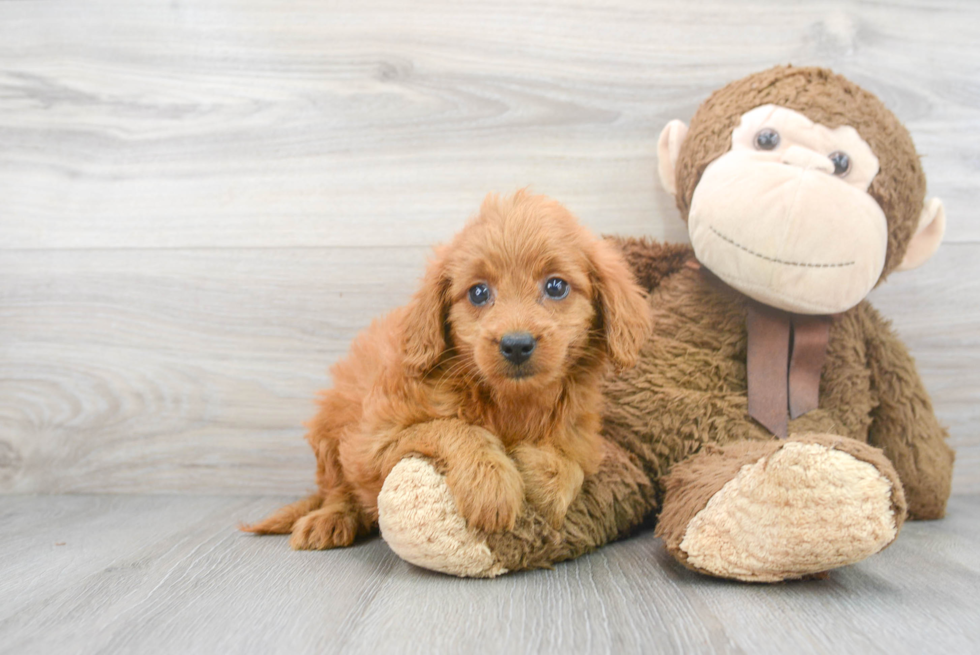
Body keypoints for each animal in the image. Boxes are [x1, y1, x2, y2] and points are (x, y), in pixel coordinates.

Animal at [241, 190, 652, 548]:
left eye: (556, 287)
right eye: (478, 293)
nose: (516, 344)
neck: (509, 402)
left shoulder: (583, 437)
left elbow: (571, 464)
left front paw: (540, 470)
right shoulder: (374, 439)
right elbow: (450, 427)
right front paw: (492, 482)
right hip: (330, 433)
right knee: (338, 489)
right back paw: (330, 519)